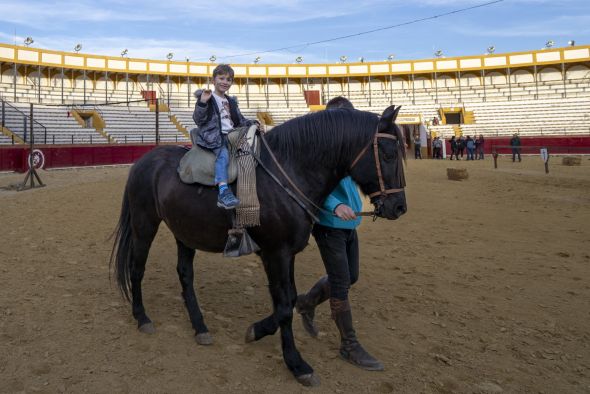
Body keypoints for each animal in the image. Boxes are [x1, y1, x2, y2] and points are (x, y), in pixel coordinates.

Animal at [111, 104, 408, 384]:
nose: (399, 207)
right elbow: (284, 307)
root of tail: (144, 161)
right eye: (388, 155)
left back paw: (200, 327)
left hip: (184, 232)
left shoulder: (287, 253)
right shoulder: (275, 253)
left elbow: (288, 301)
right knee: (137, 270)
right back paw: (142, 318)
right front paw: (297, 364)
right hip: (144, 225)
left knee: (185, 275)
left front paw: (258, 330)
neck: (288, 173)